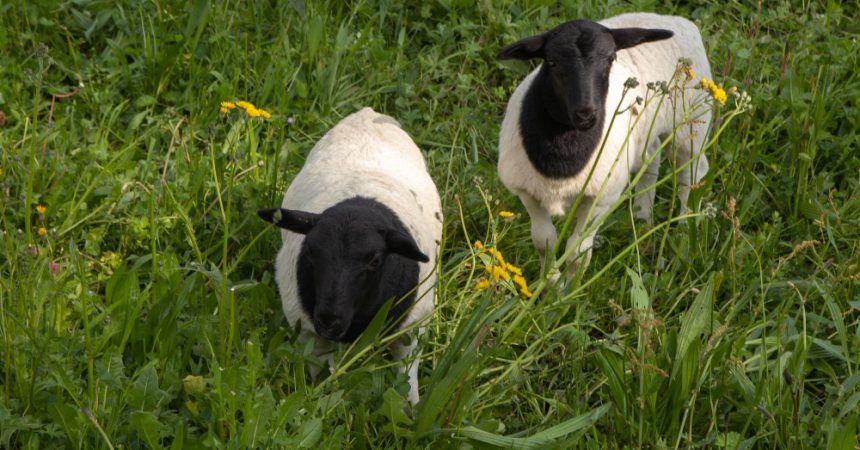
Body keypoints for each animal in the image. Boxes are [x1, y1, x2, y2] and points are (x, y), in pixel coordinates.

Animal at [258, 107, 443, 405]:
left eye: (375, 260)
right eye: (311, 250)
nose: (329, 321)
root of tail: (368, 113)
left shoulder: (412, 328)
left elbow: (407, 378)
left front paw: (412, 409)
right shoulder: (309, 334)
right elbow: (325, 381)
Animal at [497, 12, 713, 279]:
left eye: (611, 59)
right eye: (552, 62)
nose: (586, 113)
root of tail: (676, 20)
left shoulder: (599, 199)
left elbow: (578, 254)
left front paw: (569, 288)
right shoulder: (528, 193)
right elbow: (544, 243)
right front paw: (549, 283)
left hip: (692, 123)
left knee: (691, 173)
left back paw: (684, 226)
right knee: (651, 162)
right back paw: (642, 218)